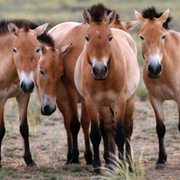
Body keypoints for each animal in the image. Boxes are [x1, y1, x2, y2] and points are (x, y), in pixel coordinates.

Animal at [0, 20, 48, 169]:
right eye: (15, 49)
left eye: (38, 49)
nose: (27, 85)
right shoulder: (1, 99)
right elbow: (1, 130)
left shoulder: (23, 96)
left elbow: (24, 128)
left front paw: (29, 159)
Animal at [134, 6, 180, 169]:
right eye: (141, 37)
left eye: (163, 36)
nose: (154, 69)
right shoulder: (155, 99)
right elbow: (160, 128)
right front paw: (161, 160)